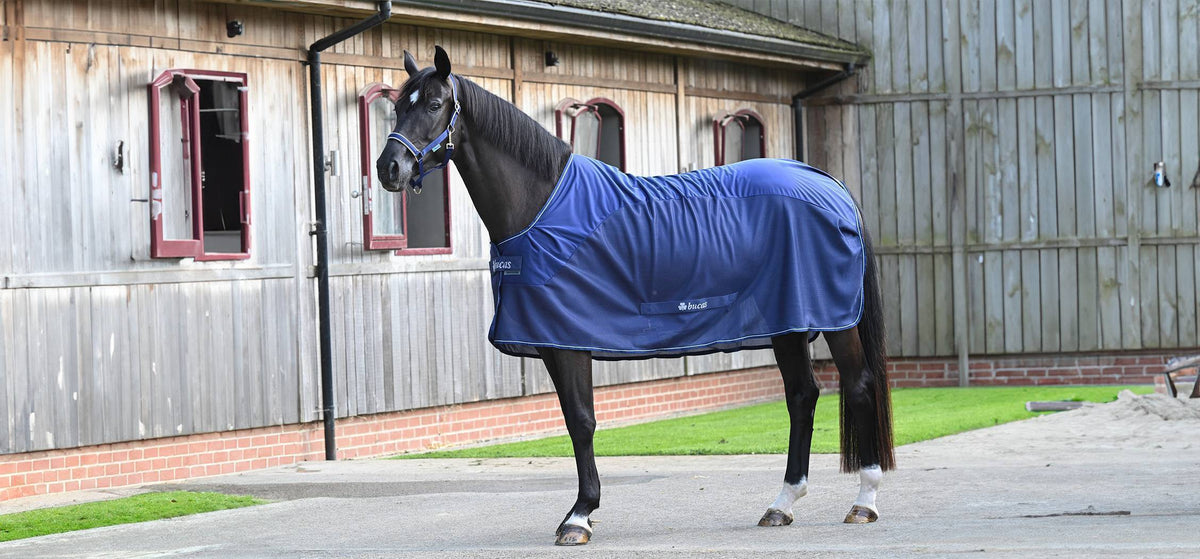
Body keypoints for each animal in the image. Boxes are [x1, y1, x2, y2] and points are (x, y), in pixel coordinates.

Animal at [375, 46, 894, 546]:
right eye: (398, 106)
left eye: (435, 105)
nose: (388, 168)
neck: (541, 206)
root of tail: (828, 182)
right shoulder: (552, 342)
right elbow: (573, 421)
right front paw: (581, 511)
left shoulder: (570, 340)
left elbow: (582, 421)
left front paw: (579, 517)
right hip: (786, 324)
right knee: (802, 395)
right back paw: (781, 505)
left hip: (835, 322)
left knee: (858, 385)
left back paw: (864, 500)